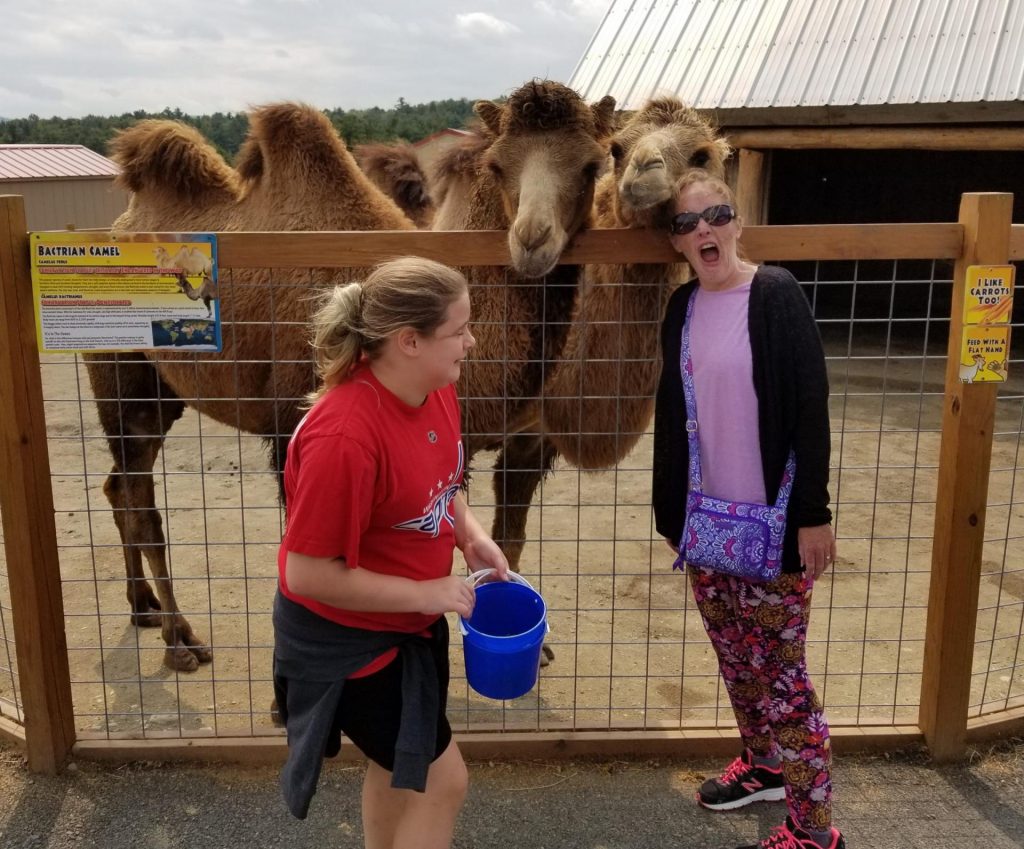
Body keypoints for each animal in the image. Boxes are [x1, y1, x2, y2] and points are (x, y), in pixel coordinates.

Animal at [83, 82, 610, 671]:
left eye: (593, 164)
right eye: (497, 165)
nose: (533, 241)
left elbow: (501, 537)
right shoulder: (294, 431)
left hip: (162, 394)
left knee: (118, 486)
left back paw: (144, 608)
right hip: (123, 381)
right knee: (140, 501)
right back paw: (182, 642)